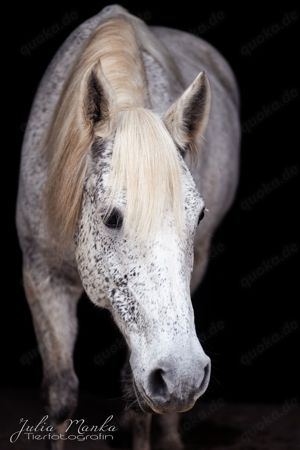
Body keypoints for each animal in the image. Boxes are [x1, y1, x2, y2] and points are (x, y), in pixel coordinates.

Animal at [17, 4, 239, 450]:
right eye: (112, 218)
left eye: (199, 215)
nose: (185, 377)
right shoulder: (41, 278)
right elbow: (62, 395)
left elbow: (139, 400)